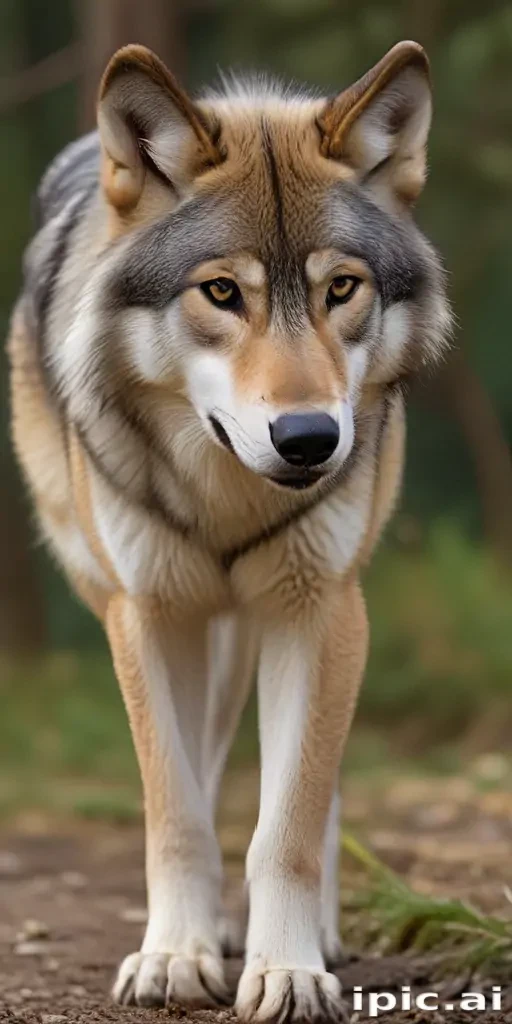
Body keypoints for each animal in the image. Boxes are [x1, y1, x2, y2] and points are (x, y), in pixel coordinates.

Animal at [8, 39, 451, 1021]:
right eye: (221, 292)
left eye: (340, 288)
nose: (311, 438)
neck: (228, 496)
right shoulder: (146, 614)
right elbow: (176, 810)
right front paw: (176, 956)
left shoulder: (320, 608)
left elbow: (288, 821)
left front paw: (287, 969)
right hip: (173, 615)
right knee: (204, 774)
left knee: (312, 789)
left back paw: (313, 936)